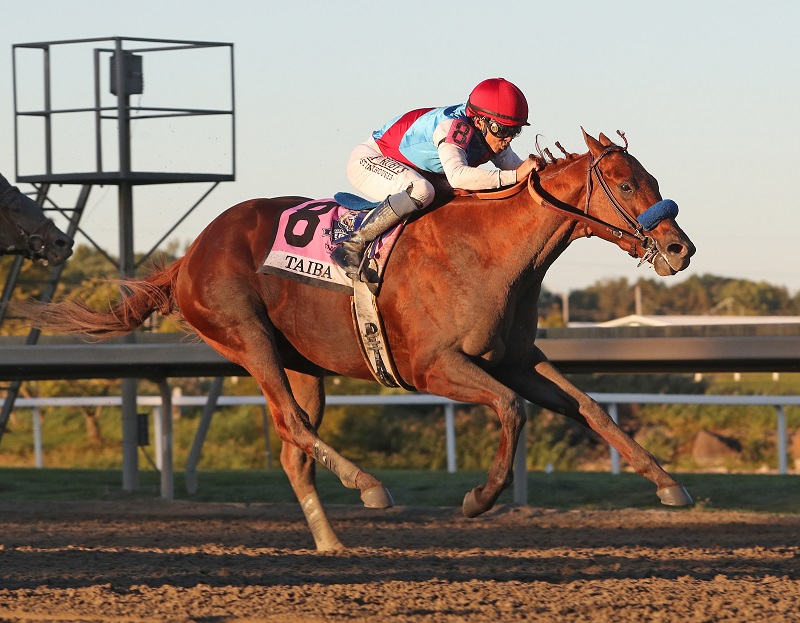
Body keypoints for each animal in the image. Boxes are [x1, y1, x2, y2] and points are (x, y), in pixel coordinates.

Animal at [23, 132, 692, 552]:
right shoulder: (432, 366)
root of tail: (189, 257)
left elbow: (589, 408)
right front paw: (479, 499)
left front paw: (668, 484)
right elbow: (511, 409)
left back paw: (330, 541)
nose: (679, 247)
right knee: (292, 424)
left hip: (302, 364)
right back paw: (369, 486)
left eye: (651, 177)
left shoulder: (517, 358)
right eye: (625, 185)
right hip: (247, 338)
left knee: (294, 446)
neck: (488, 251)